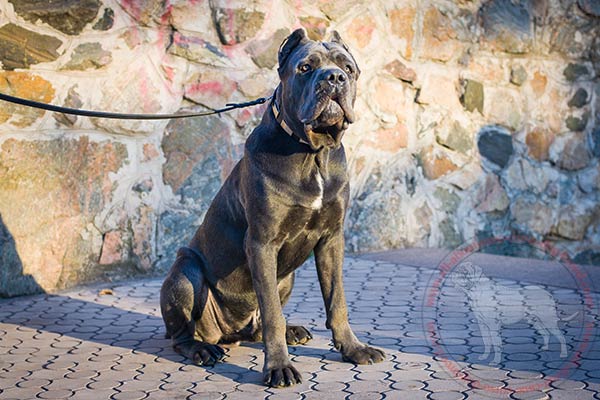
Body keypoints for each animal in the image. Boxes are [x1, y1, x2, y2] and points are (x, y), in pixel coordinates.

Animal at [159, 28, 384, 388]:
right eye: (305, 68)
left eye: (347, 68)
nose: (334, 77)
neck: (312, 153)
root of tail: (229, 332)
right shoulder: (262, 243)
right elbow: (273, 316)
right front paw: (278, 367)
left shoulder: (332, 239)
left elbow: (337, 300)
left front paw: (353, 348)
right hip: (185, 272)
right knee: (183, 333)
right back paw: (202, 349)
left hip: (285, 278)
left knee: (257, 324)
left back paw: (293, 331)